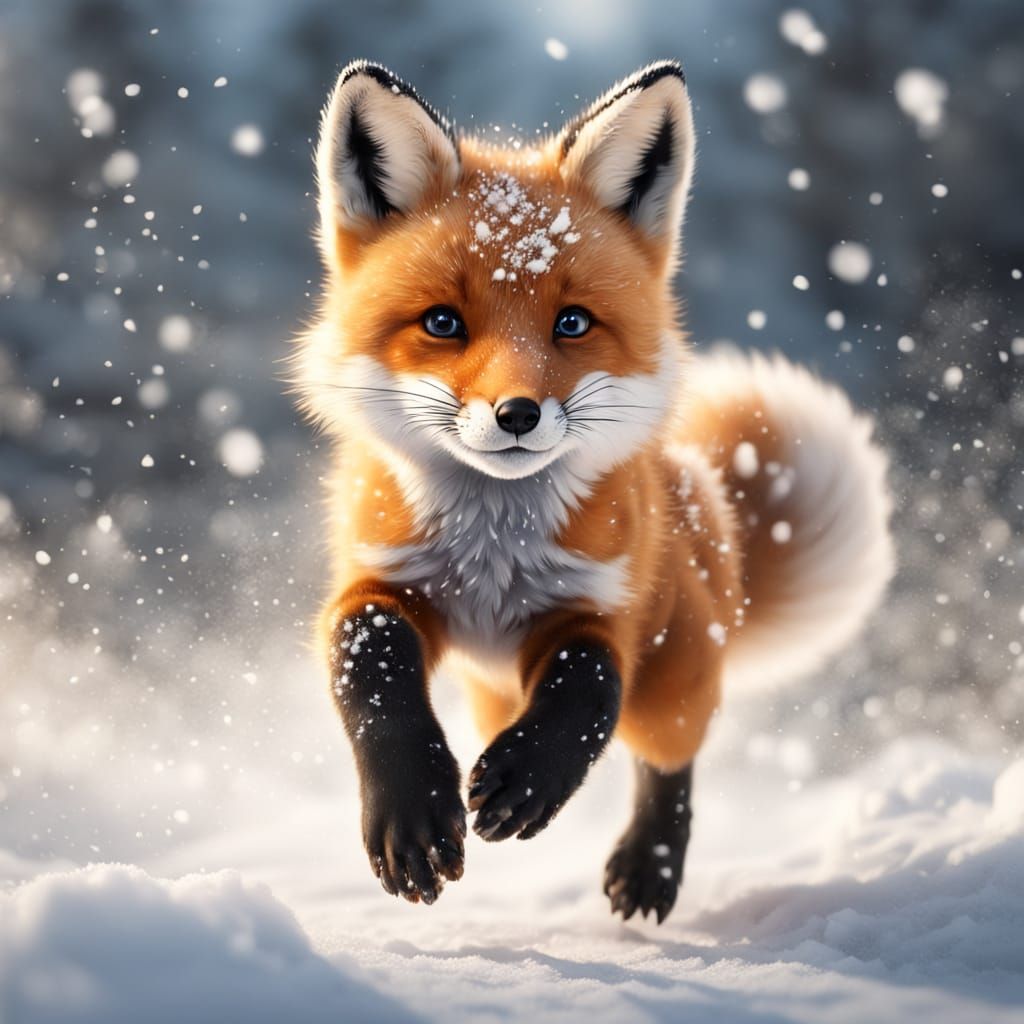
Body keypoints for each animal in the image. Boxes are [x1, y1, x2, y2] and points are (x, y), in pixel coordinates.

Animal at [294, 59, 894, 923]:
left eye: (572, 324)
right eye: (443, 323)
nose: (517, 414)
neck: (492, 554)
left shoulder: (601, 608)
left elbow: (590, 685)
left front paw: (530, 779)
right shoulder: (379, 582)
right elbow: (368, 658)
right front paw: (412, 815)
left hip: (673, 678)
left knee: (668, 756)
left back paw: (650, 863)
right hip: (494, 689)